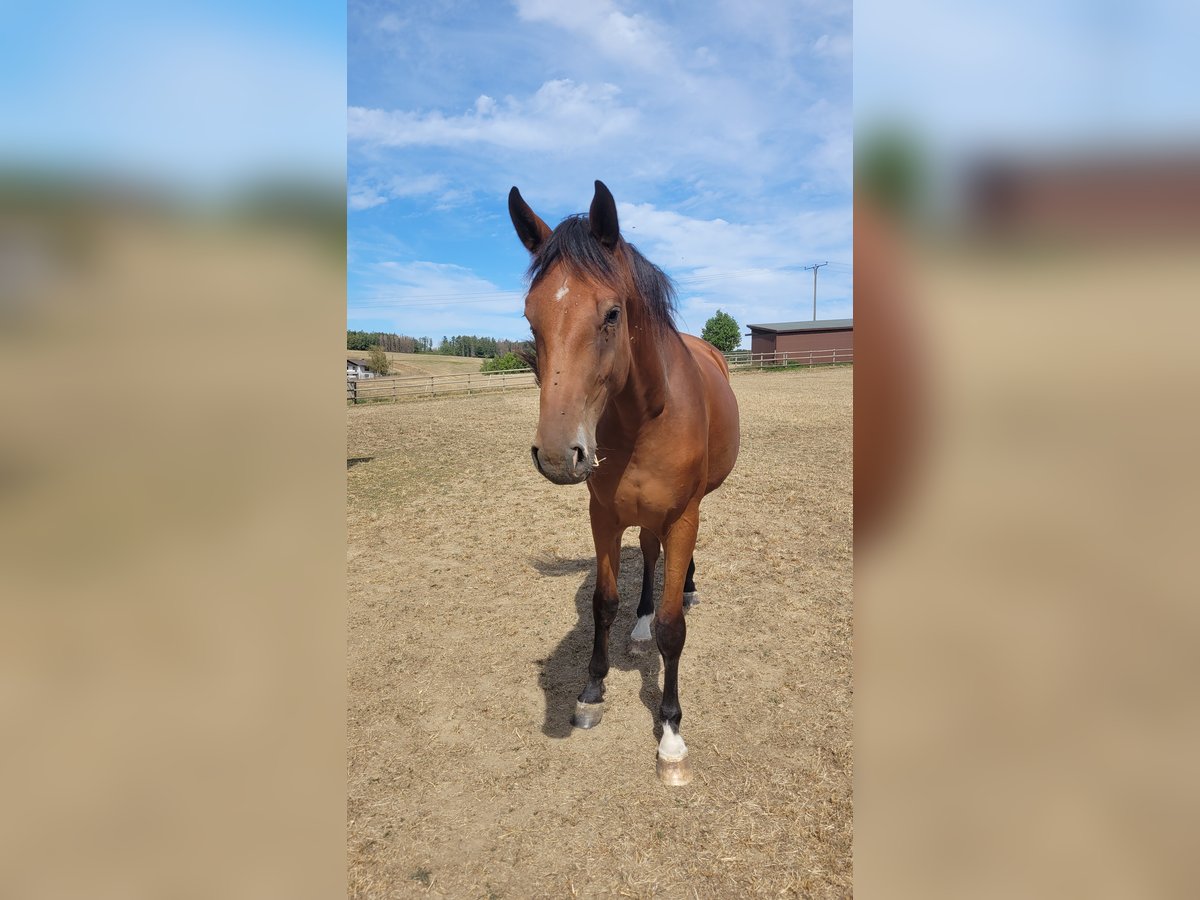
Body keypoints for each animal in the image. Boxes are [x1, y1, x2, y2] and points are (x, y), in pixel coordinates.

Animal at [508, 180, 739, 787]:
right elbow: (603, 602)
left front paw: (672, 737)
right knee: (649, 553)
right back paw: (640, 622)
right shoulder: (604, 515)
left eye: (612, 313)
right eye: (531, 318)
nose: (558, 455)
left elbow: (673, 630)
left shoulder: (682, 514)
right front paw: (592, 691)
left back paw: (687, 588)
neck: (646, 416)